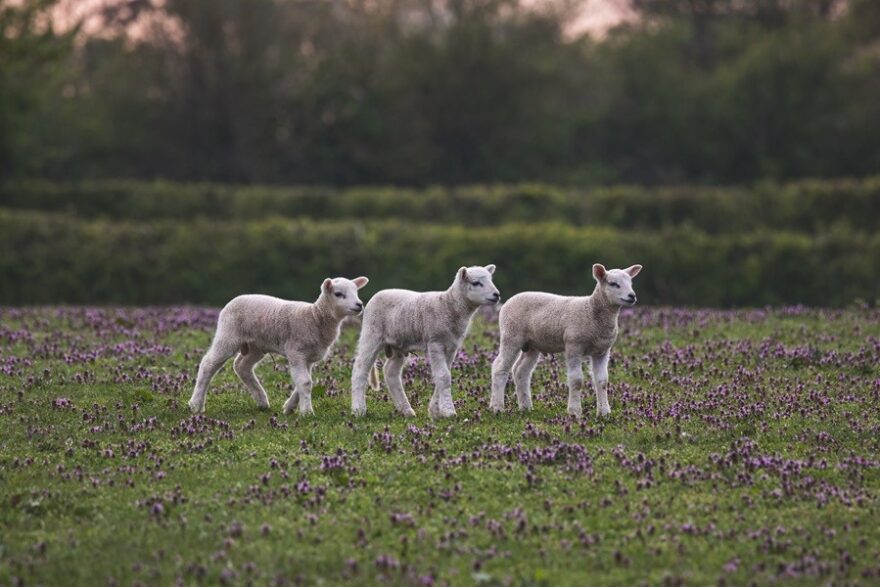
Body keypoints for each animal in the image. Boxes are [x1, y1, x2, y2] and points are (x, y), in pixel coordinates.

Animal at [187, 276, 369, 415]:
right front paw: (307, 412)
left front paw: (289, 407)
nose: (359, 305)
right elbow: (305, 382)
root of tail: (233, 300)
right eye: (338, 294)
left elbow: (303, 382)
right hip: (228, 334)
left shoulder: (309, 357)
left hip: (255, 346)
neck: (314, 316)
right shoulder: (296, 351)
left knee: (241, 366)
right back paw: (196, 404)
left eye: (356, 292)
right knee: (208, 364)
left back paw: (262, 401)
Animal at [350, 265, 500, 419]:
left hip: (399, 344)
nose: (497, 295)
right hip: (371, 333)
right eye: (476, 283)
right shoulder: (435, 342)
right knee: (360, 369)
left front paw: (436, 411)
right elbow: (444, 376)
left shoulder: (451, 347)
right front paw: (449, 411)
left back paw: (406, 410)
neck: (449, 306)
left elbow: (444, 376)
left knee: (390, 372)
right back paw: (359, 410)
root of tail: (378, 294)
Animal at [490, 263, 642, 417]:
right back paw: (497, 408)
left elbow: (602, 381)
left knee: (521, 371)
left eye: (630, 283)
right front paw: (574, 412)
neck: (592, 310)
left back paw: (526, 407)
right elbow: (576, 380)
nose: (632, 296)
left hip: (532, 344)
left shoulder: (602, 351)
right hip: (511, 335)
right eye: (613, 284)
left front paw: (604, 413)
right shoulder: (574, 346)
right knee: (499, 368)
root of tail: (508, 302)